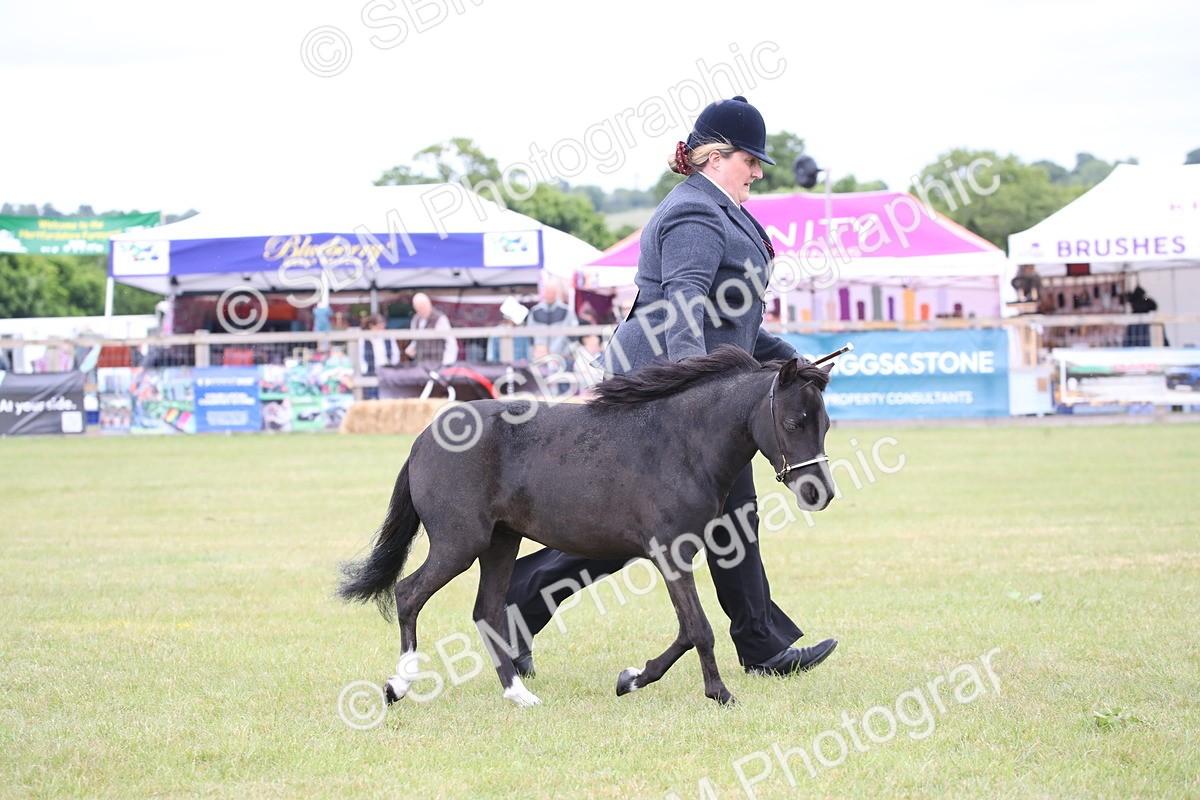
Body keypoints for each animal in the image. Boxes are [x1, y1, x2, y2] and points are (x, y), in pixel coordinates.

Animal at [337, 345, 837, 707]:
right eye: (794, 422)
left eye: (826, 423)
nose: (821, 493)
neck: (681, 444)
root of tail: (423, 439)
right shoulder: (670, 552)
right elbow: (698, 628)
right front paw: (720, 694)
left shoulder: (677, 553)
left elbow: (685, 630)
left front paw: (632, 678)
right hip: (460, 542)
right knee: (408, 594)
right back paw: (398, 686)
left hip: (500, 542)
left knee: (486, 612)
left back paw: (519, 693)